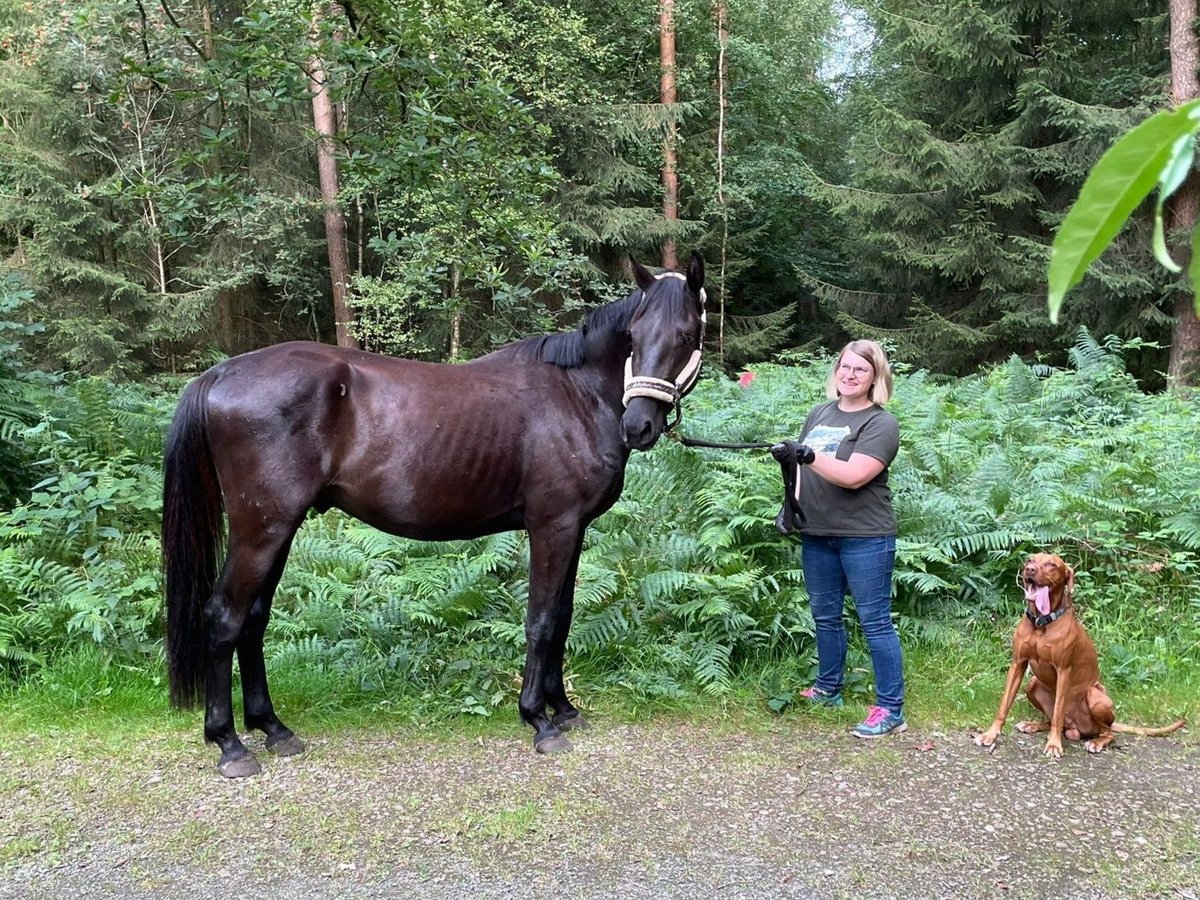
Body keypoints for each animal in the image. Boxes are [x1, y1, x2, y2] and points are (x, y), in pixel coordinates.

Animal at [159, 252, 700, 777]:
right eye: (634, 335)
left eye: (686, 334)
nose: (638, 425)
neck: (576, 394)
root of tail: (221, 373)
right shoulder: (553, 527)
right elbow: (542, 621)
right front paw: (539, 720)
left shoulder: (575, 530)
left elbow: (563, 618)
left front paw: (564, 710)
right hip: (261, 532)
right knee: (224, 618)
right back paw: (229, 745)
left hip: (278, 532)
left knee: (252, 621)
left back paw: (273, 729)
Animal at [979, 554, 1185, 758]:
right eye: (1030, 560)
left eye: (1052, 564)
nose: (1029, 569)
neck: (1041, 623)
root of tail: (1075, 727)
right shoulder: (1018, 663)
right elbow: (1004, 704)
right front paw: (990, 734)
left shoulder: (1063, 670)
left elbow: (1058, 712)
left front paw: (1054, 745)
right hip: (1032, 684)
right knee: (1055, 720)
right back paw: (1033, 725)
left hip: (1096, 697)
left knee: (1107, 732)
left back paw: (1096, 742)